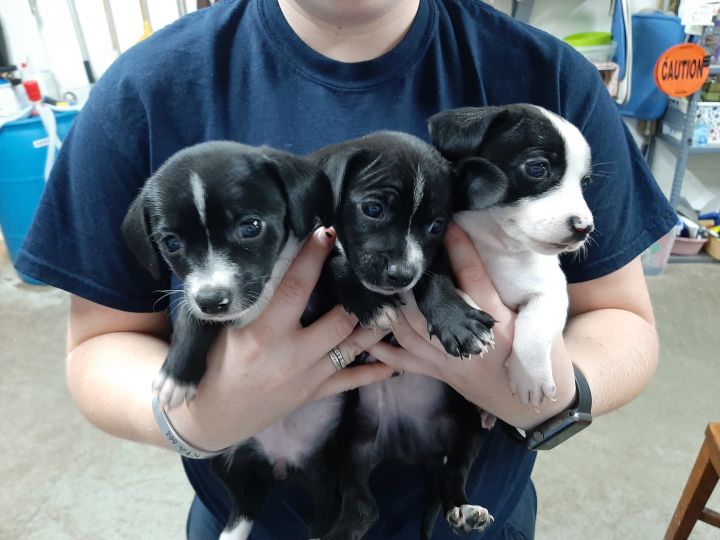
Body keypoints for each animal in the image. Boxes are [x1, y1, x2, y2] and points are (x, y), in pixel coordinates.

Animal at [310, 132, 500, 540]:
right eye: (373, 209)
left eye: (437, 226)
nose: (401, 274)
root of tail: (410, 449)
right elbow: (335, 263)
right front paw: (369, 304)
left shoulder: (434, 257)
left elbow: (433, 277)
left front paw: (458, 323)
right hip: (347, 444)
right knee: (363, 508)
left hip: (467, 425)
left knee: (453, 474)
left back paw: (464, 510)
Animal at [430, 103, 592, 408]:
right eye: (538, 168)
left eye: (585, 183)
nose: (584, 228)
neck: (500, 246)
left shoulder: (551, 292)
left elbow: (536, 327)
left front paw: (530, 378)